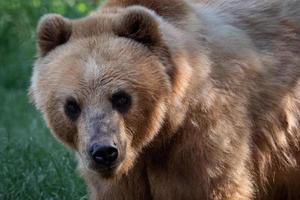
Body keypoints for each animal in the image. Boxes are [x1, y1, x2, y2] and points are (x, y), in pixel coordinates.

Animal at [29, 0, 300, 199]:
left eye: (121, 98)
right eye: (71, 105)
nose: (104, 152)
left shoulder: (203, 138)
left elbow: (216, 183)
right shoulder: (120, 176)